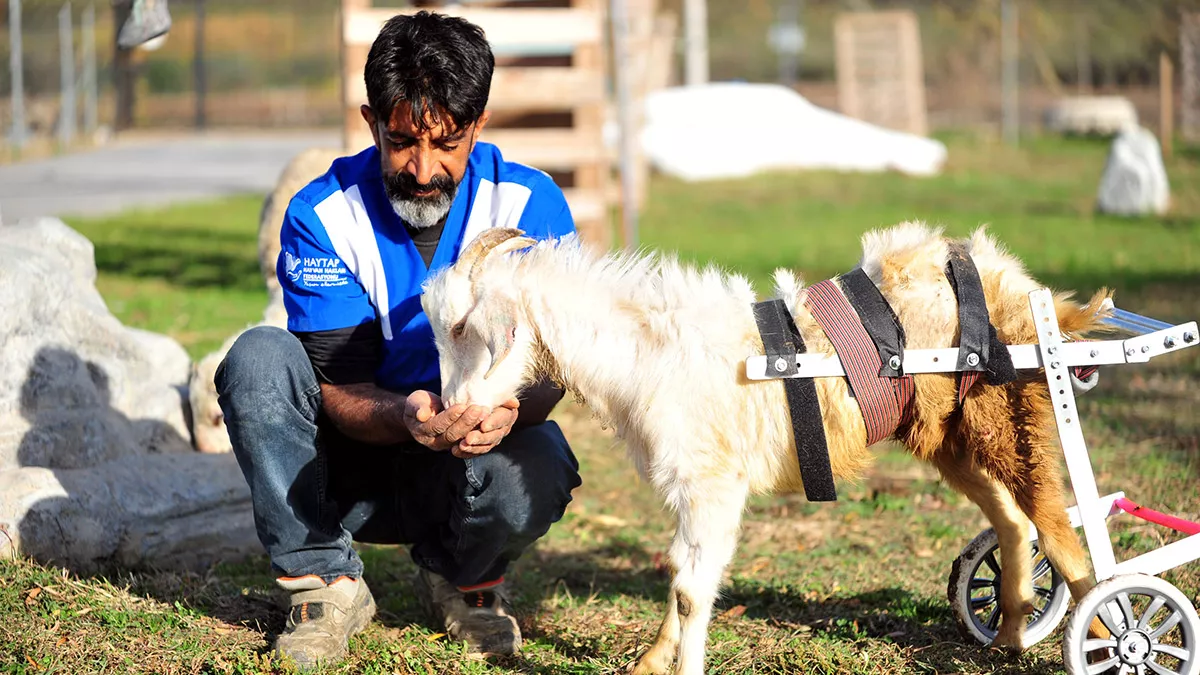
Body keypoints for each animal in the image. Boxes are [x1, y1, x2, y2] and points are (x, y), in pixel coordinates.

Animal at [420, 222, 1104, 672]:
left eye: (461, 327)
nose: (451, 413)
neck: (646, 355)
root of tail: (1008, 273)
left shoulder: (713, 484)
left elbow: (693, 590)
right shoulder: (693, 488)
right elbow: (680, 571)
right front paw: (650, 662)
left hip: (1012, 409)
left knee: (1060, 531)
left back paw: (1102, 630)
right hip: (950, 434)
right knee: (1014, 521)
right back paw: (1013, 630)